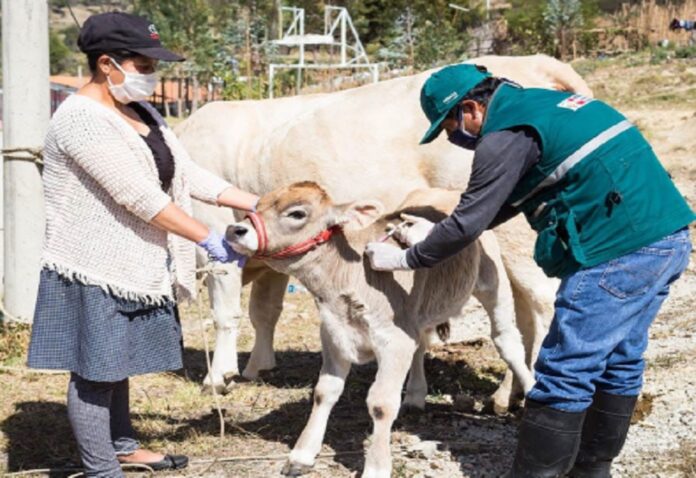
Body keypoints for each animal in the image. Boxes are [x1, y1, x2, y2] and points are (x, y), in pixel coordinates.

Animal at [177, 55, 580, 408]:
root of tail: (532, 62)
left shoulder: (216, 240)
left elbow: (226, 312)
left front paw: (219, 375)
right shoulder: (272, 260)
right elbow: (264, 311)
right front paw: (257, 365)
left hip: (517, 236)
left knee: (542, 305)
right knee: (521, 315)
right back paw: (506, 394)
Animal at [226, 182, 536, 478]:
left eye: (297, 213)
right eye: (259, 204)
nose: (235, 229)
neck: (347, 282)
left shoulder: (394, 340)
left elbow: (381, 403)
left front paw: (376, 467)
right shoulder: (333, 333)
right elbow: (324, 391)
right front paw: (301, 455)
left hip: (493, 282)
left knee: (507, 341)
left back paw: (531, 388)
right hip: (419, 313)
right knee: (421, 344)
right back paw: (415, 395)